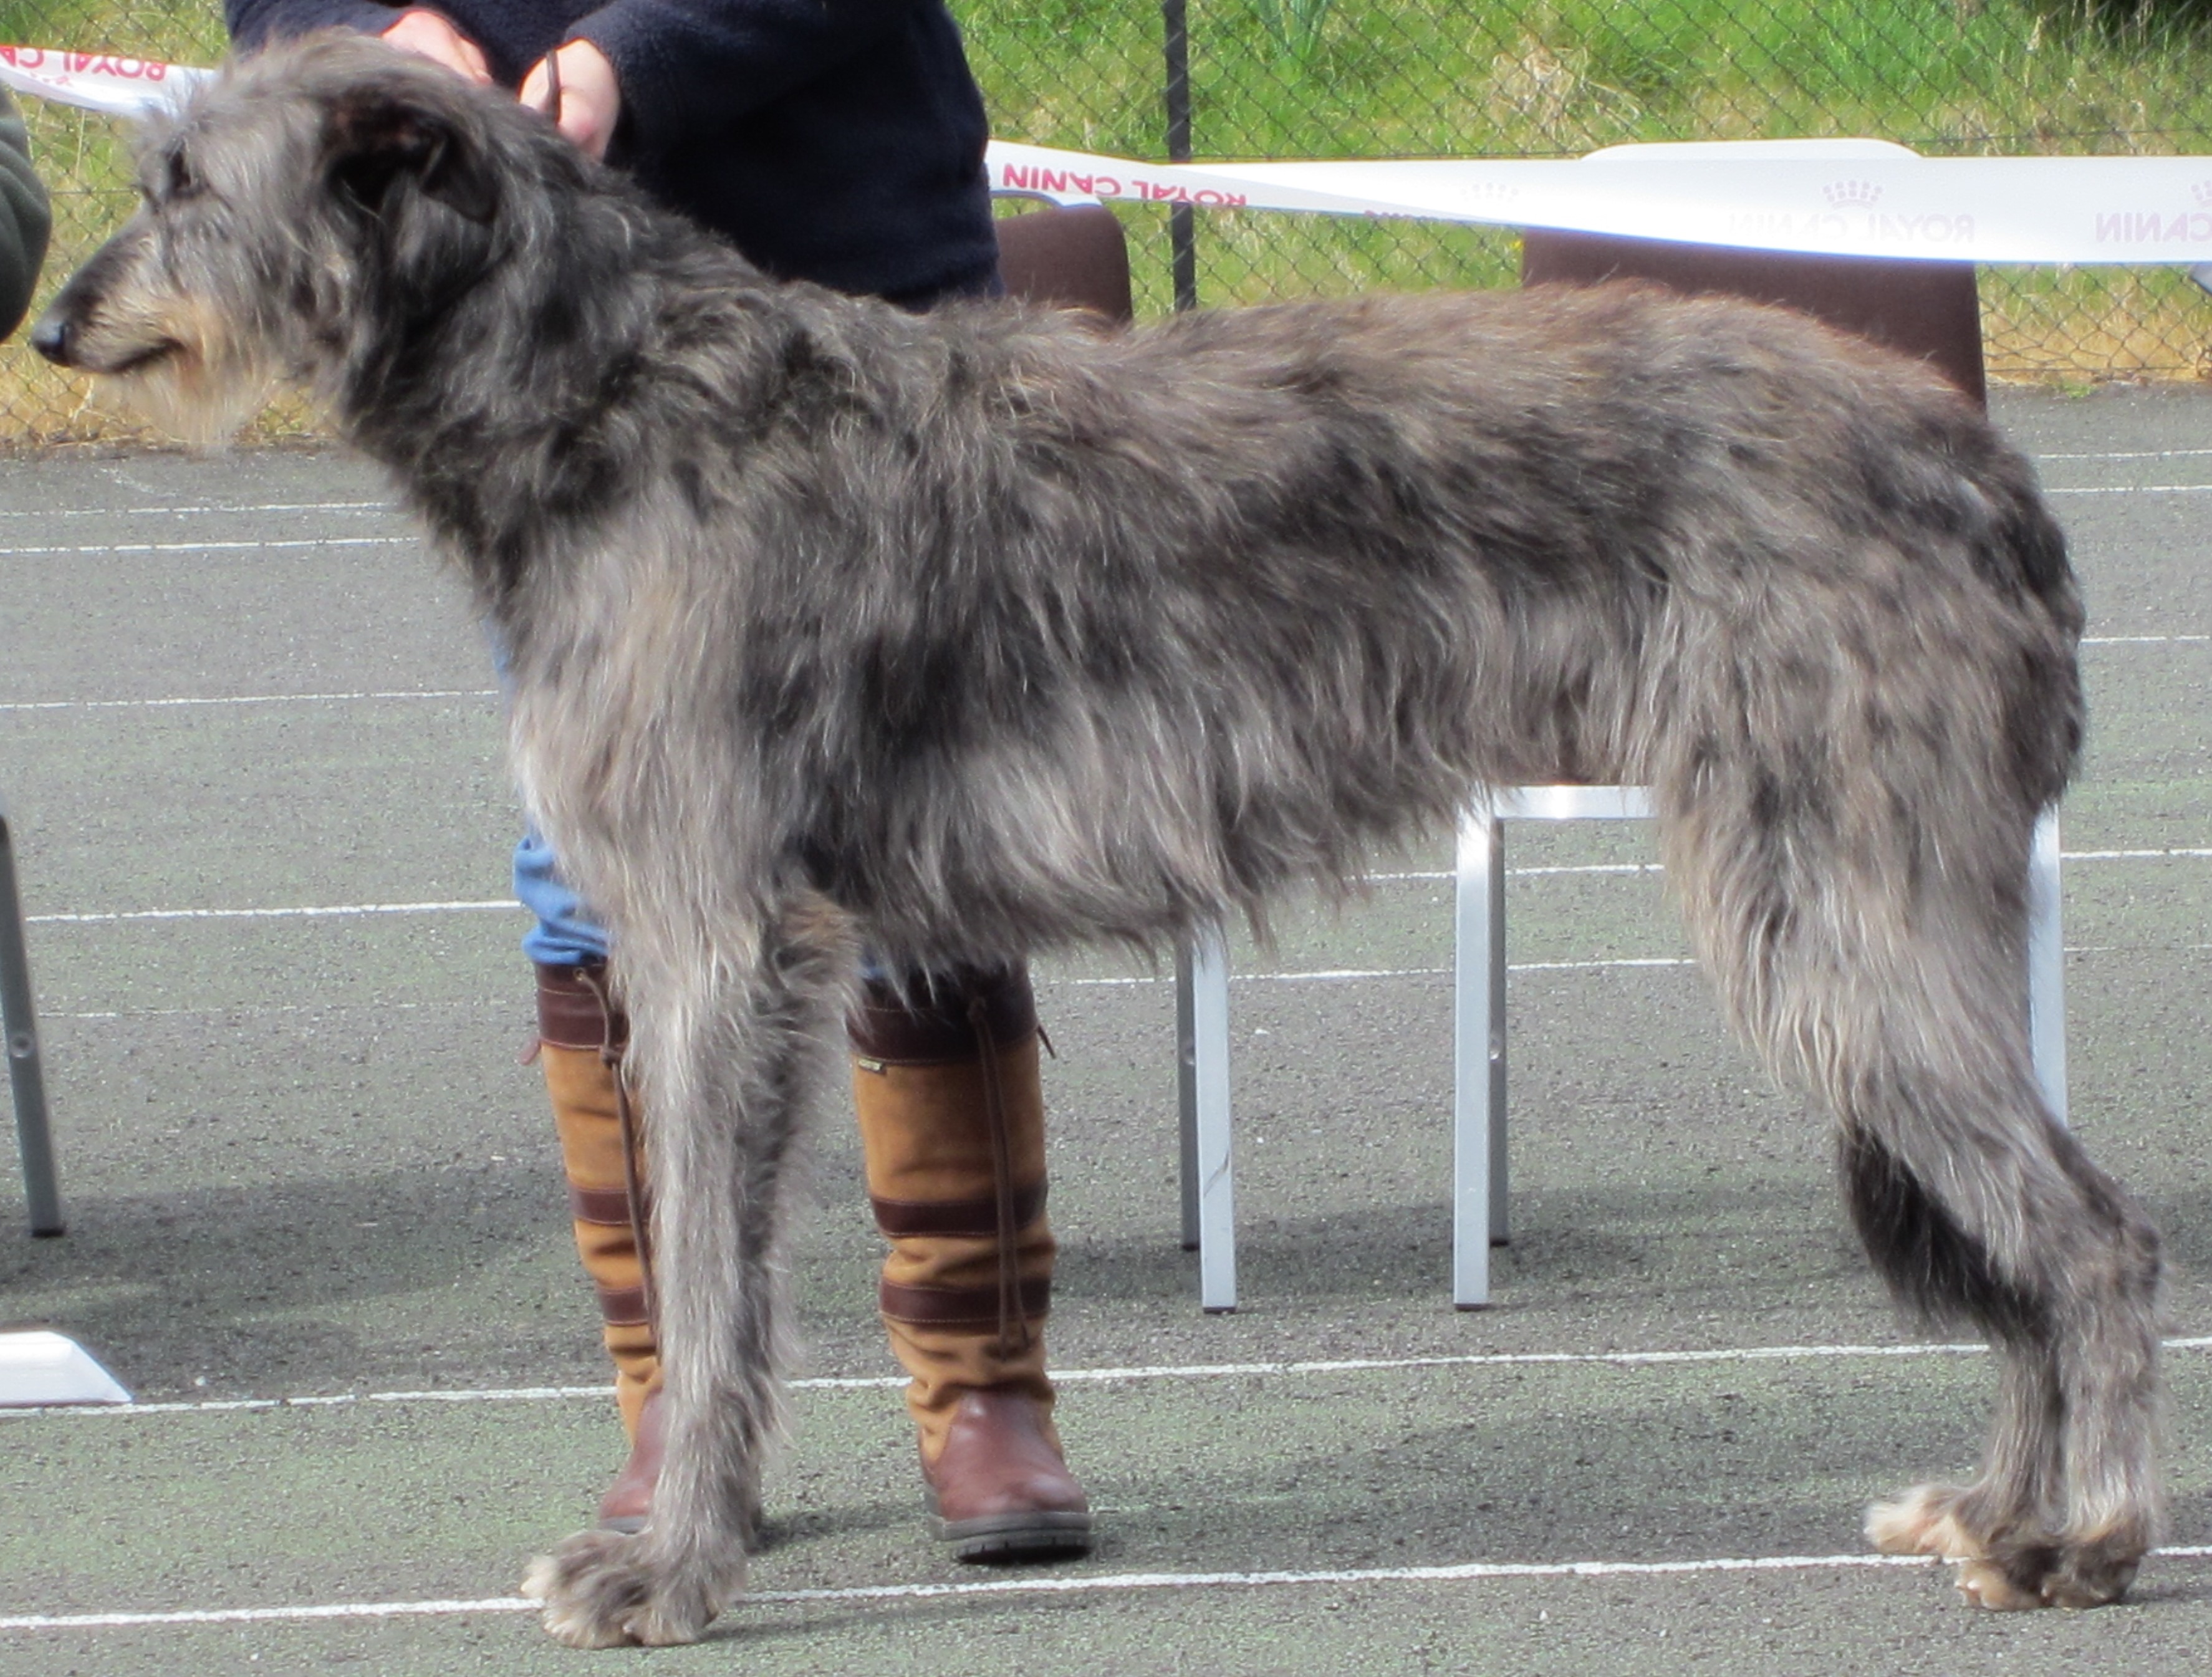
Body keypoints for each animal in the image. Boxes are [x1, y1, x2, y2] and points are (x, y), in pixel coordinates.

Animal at [34, 34, 2163, 1647]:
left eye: (184, 180)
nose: (49, 318)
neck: (615, 395)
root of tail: (1979, 458)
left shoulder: (714, 929)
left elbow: (715, 1288)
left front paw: (669, 1566)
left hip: (1837, 897)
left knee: (2088, 1230)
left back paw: (2079, 1532)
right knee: (2028, 1226)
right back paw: (1998, 1506)